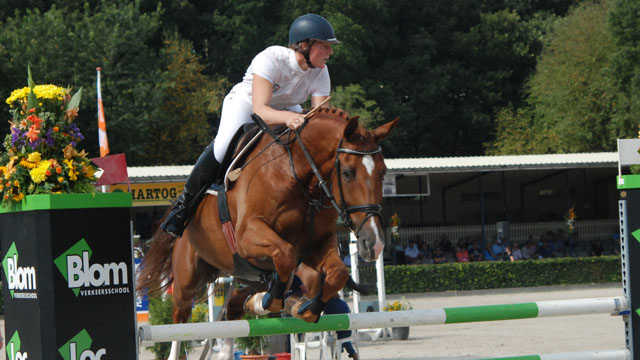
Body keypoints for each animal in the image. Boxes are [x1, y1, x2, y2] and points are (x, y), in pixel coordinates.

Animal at [139, 107, 398, 354]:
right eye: (347, 173)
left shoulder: (316, 244)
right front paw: (275, 300)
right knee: (179, 321)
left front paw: (308, 308)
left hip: (246, 275)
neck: (297, 174)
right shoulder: (248, 236)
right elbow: (285, 254)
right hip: (188, 278)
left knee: (234, 305)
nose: (374, 243)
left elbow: (337, 273)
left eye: (383, 172)